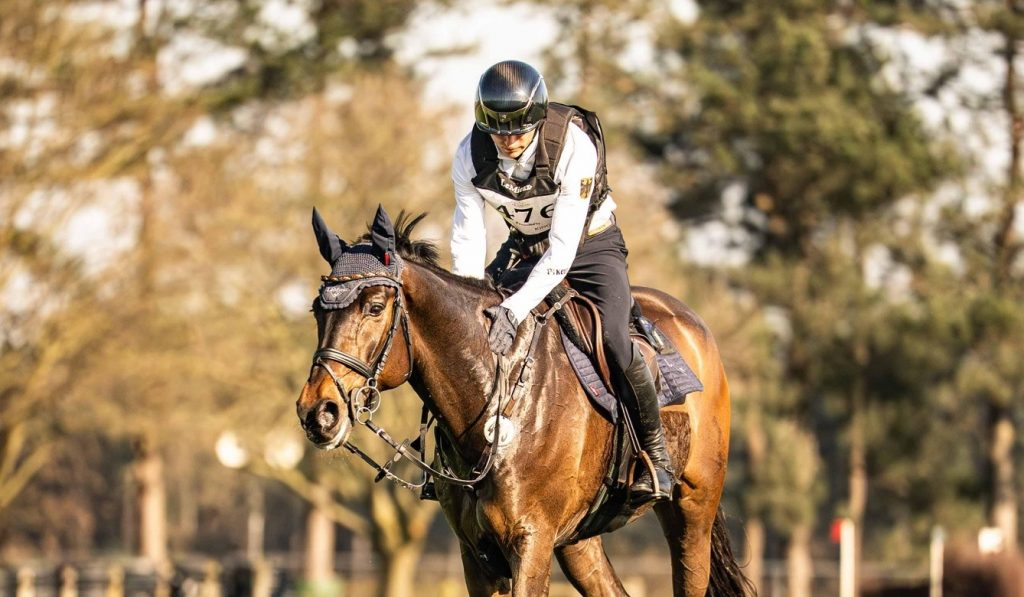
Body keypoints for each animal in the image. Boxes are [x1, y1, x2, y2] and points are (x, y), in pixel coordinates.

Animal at [297, 206, 751, 596]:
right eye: (318, 310)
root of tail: (693, 325)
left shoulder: (530, 539)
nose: (318, 412)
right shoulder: (477, 554)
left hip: (692, 510)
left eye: (375, 307)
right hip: (577, 540)